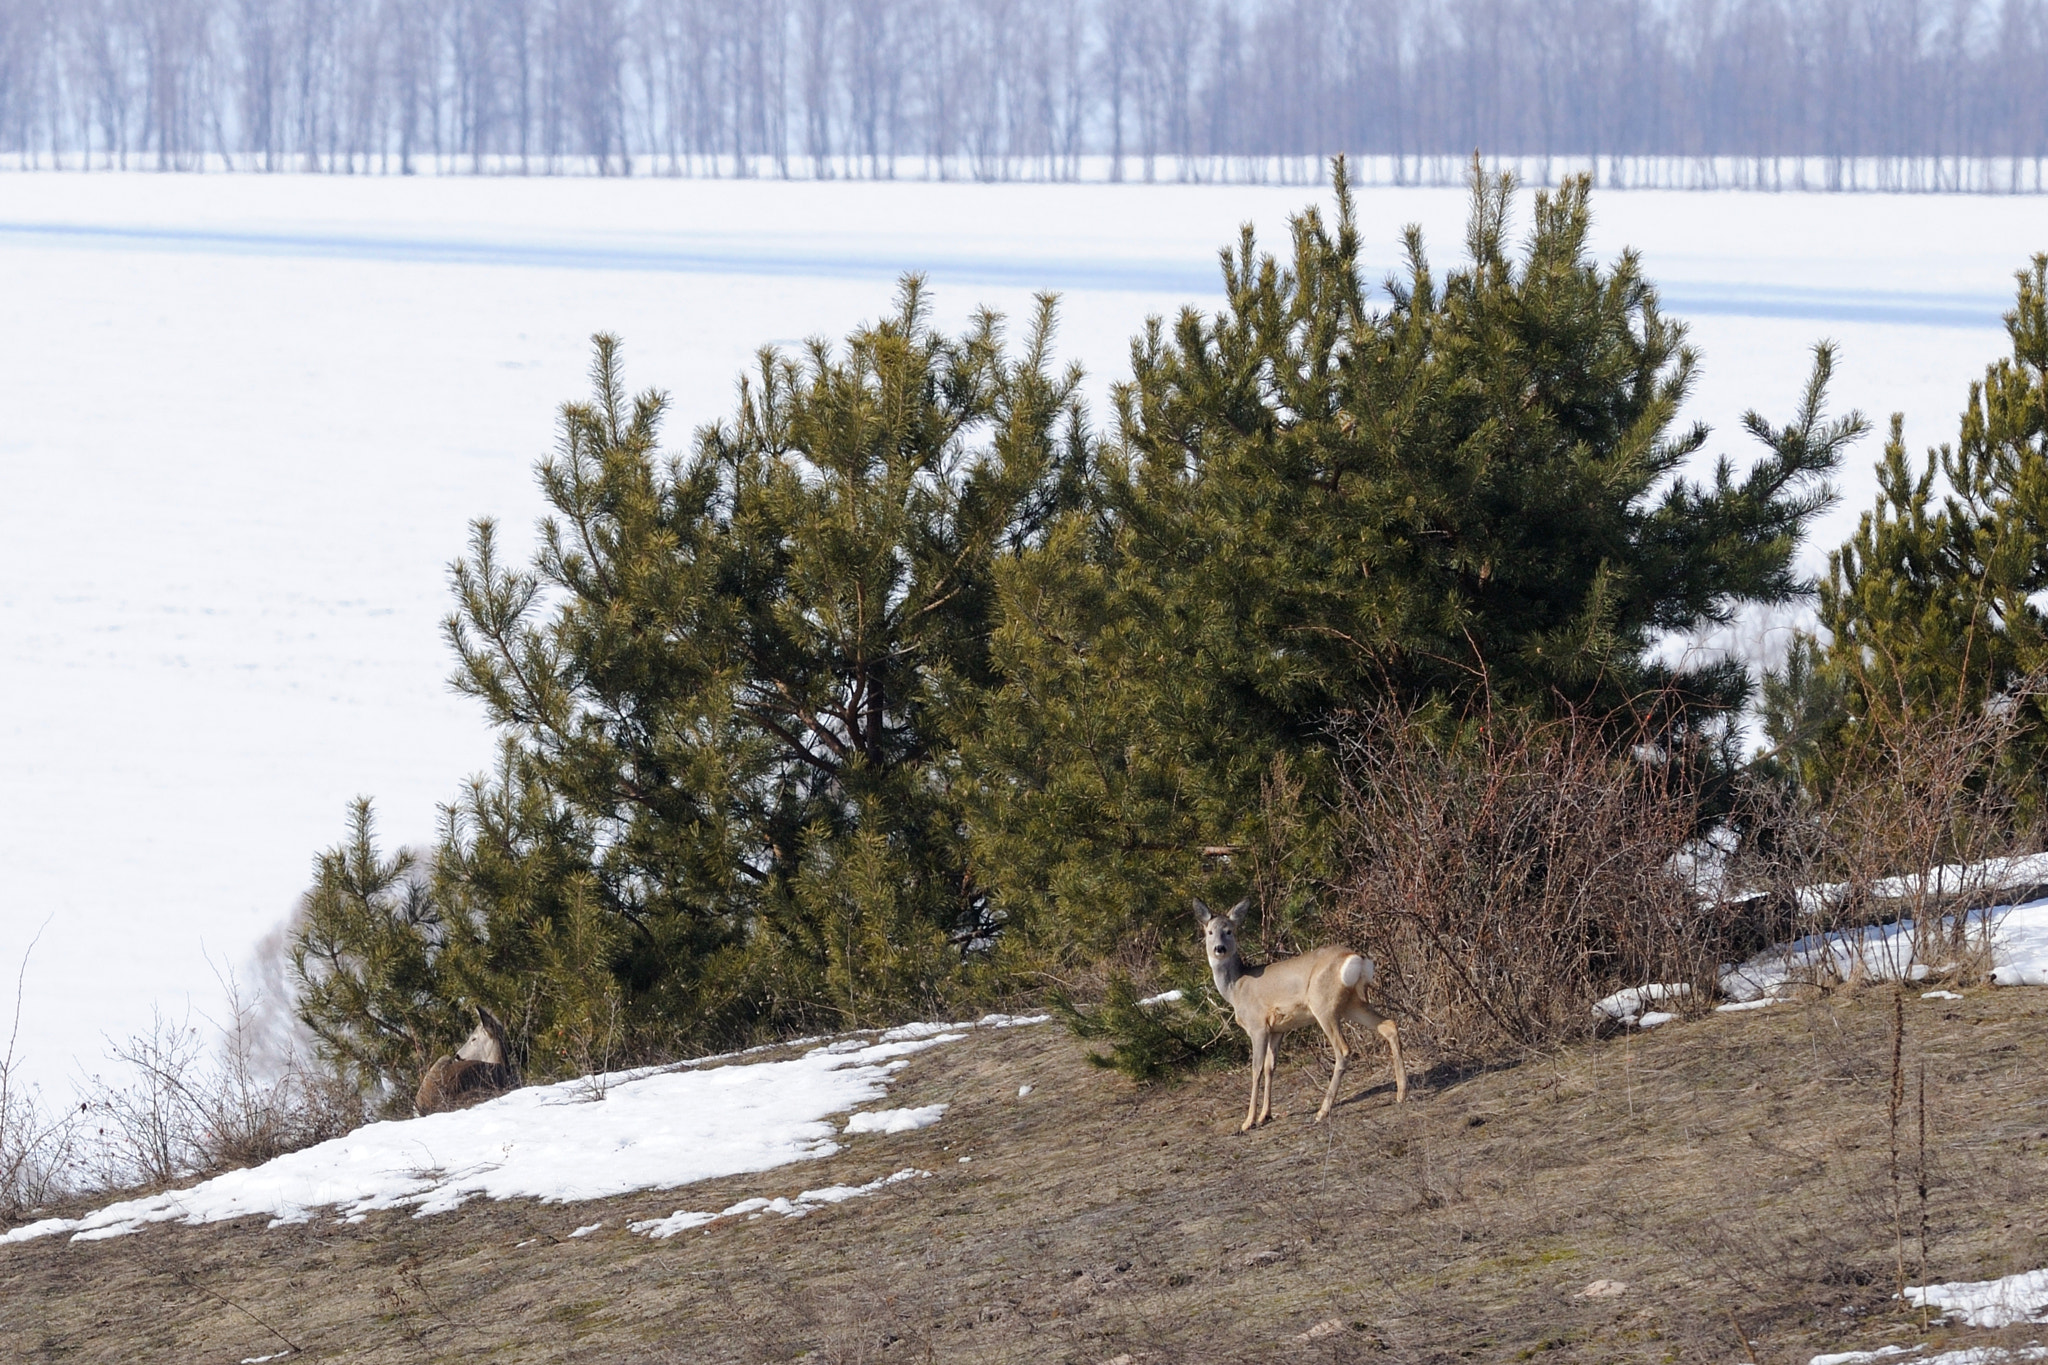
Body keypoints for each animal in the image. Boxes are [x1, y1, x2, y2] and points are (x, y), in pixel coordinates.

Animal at [1196, 896, 1409, 1129]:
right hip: (1351, 1004)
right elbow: (1270, 1067)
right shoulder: (1278, 1029)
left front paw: (1248, 1121)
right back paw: (1401, 1093)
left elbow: (1256, 1069)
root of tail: (1357, 958)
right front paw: (1265, 1115)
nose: (1219, 948)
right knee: (1389, 1025)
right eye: (1209, 932)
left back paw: (1322, 1111)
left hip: (1323, 1004)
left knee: (1343, 1050)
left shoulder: (1258, 1025)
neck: (1236, 988)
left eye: (1229, 931)